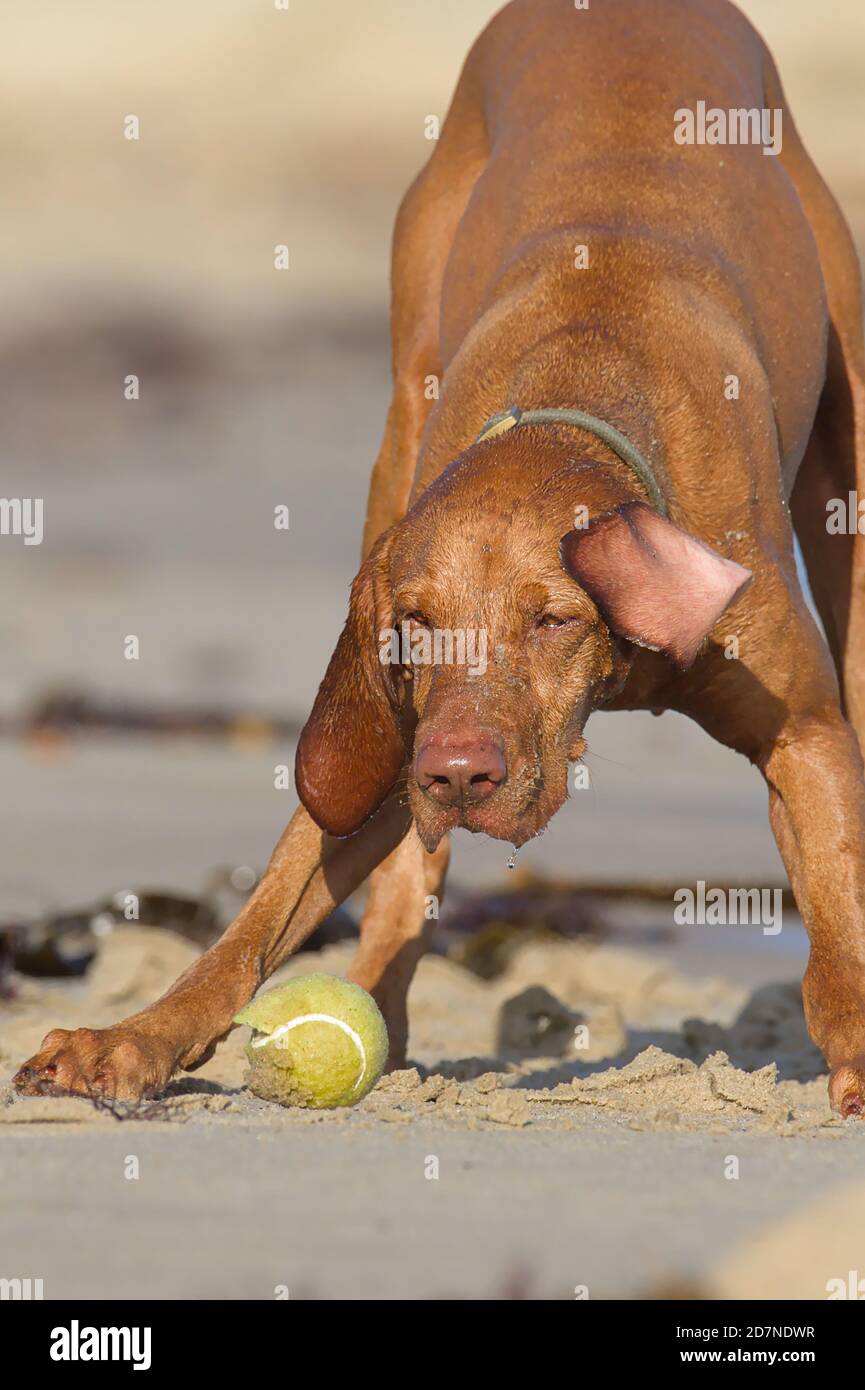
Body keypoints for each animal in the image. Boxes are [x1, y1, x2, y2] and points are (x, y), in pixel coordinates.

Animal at [15, 0, 865, 1106]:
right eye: (416, 625)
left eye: (553, 619)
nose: (458, 774)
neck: (576, 399)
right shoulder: (382, 732)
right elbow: (263, 910)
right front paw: (135, 1037)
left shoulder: (801, 732)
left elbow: (835, 913)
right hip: (397, 429)